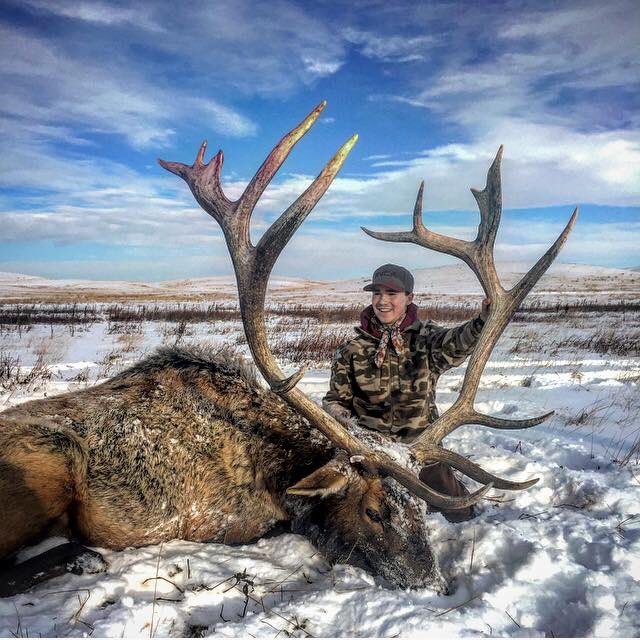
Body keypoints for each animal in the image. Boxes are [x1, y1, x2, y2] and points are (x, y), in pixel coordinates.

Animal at [0, 101, 577, 598]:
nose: (434, 585)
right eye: (374, 511)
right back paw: (83, 556)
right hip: (42, 472)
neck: (278, 466)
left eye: (420, 508)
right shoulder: (221, 519)